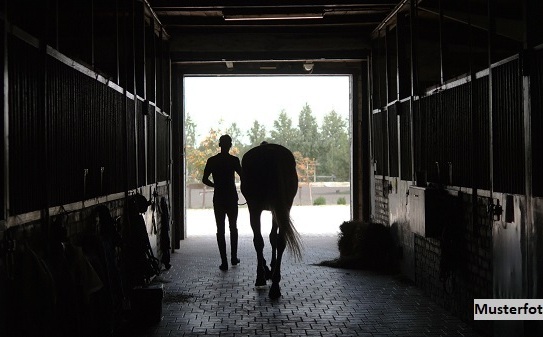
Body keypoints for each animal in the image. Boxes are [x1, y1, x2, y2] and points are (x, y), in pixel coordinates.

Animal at [241, 140, 304, 298]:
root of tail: (270, 152)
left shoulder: (256, 208)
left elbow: (262, 240)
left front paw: (263, 273)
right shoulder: (277, 209)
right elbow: (273, 238)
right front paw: (271, 269)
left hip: (256, 207)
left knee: (259, 241)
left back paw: (266, 279)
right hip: (283, 206)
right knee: (280, 241)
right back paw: (275, 285)